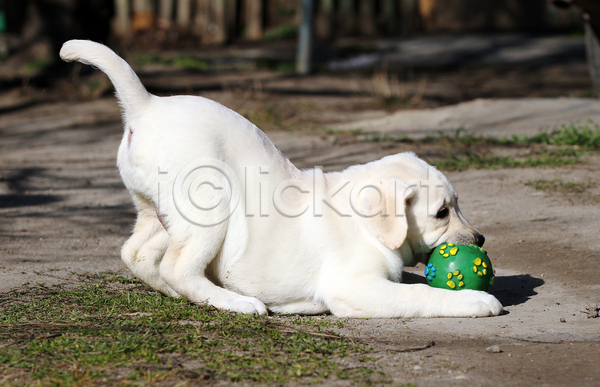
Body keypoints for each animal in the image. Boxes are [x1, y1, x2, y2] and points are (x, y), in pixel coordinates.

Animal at [61, 40, 504, 318]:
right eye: (442, 212)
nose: (481, 240)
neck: (364, 224)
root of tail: (147, 105)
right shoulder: (354, 287)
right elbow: (418, 293)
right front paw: (475, 301)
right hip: (209, 204)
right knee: (178, 267)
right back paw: (237, 303)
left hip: (156, 210)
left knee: (136, 253)